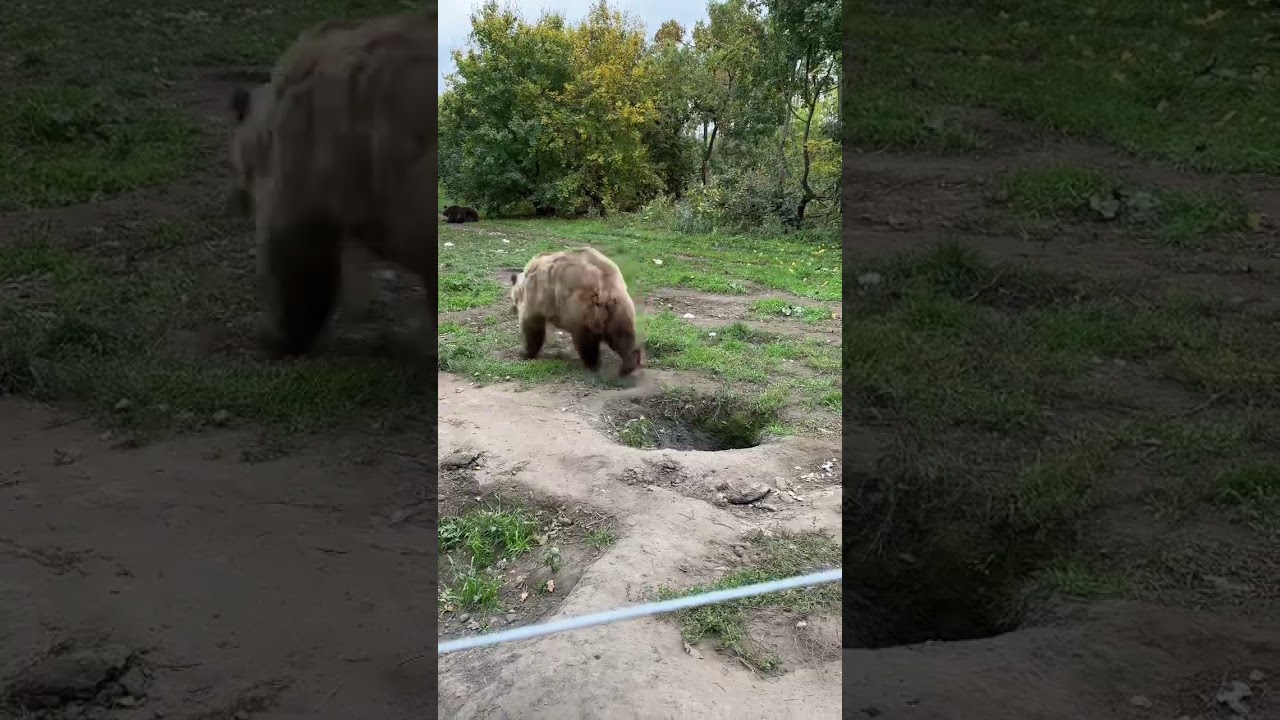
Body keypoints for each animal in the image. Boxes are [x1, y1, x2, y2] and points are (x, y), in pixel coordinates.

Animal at [509, 247, 642, 376]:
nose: (513, 309)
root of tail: (606, 291)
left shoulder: (537, 294)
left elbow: (531, 325)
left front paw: (524, 353)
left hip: (582, 309)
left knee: (586, 341)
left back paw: (591, 364)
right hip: (620, 309)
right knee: (623, 337)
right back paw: (628, 366)